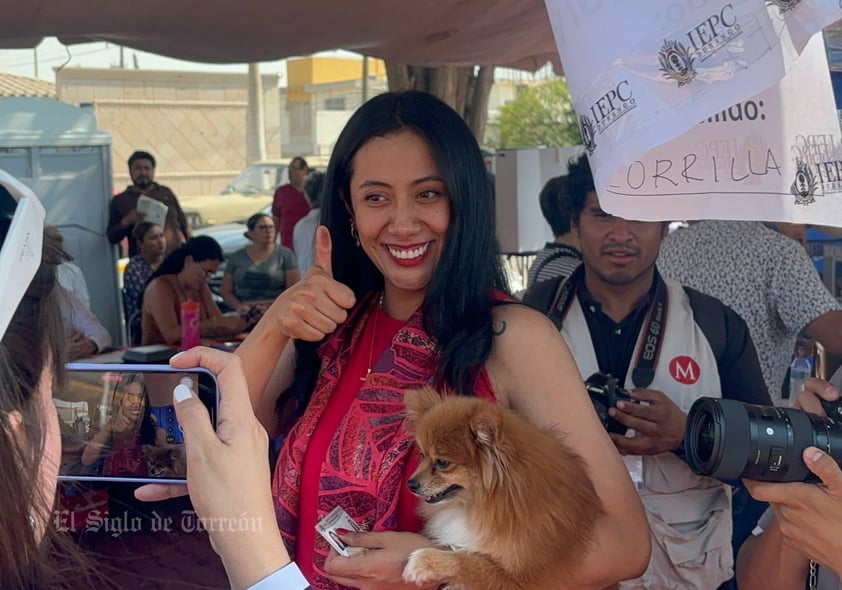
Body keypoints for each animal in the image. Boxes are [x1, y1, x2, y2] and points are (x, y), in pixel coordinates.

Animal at [400, 388, 612, 590]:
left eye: (443, 462)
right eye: (422, 455)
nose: (411, 484)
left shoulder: (521, 579)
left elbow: (469, 562)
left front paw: (423, 562)